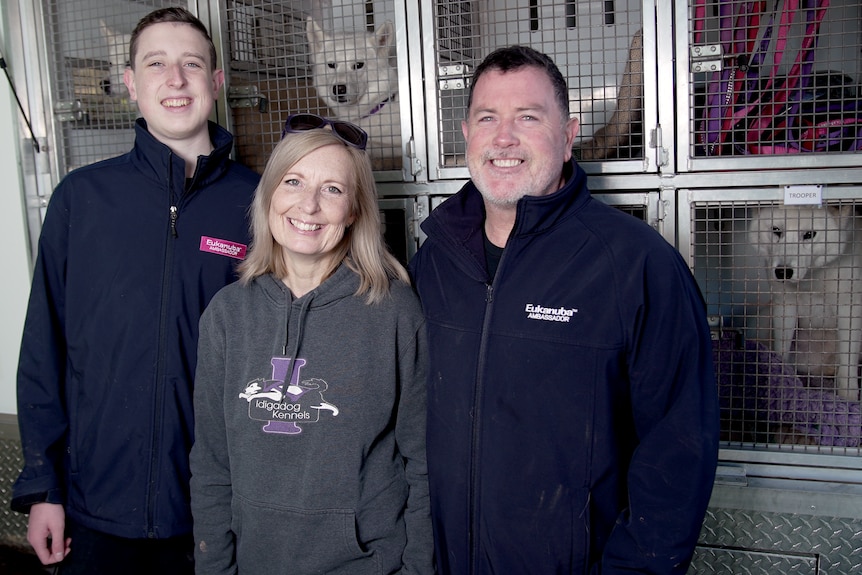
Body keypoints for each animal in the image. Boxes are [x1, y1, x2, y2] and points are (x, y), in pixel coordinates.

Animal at [748, 204, 862, 400]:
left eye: (809, 234)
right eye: (776, 230)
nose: (783, 272)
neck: (811, 279)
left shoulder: (848, 310)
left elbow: (847, 365)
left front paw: (848, 398)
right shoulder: (785, 306)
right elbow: (781, 350)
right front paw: (782, 377)